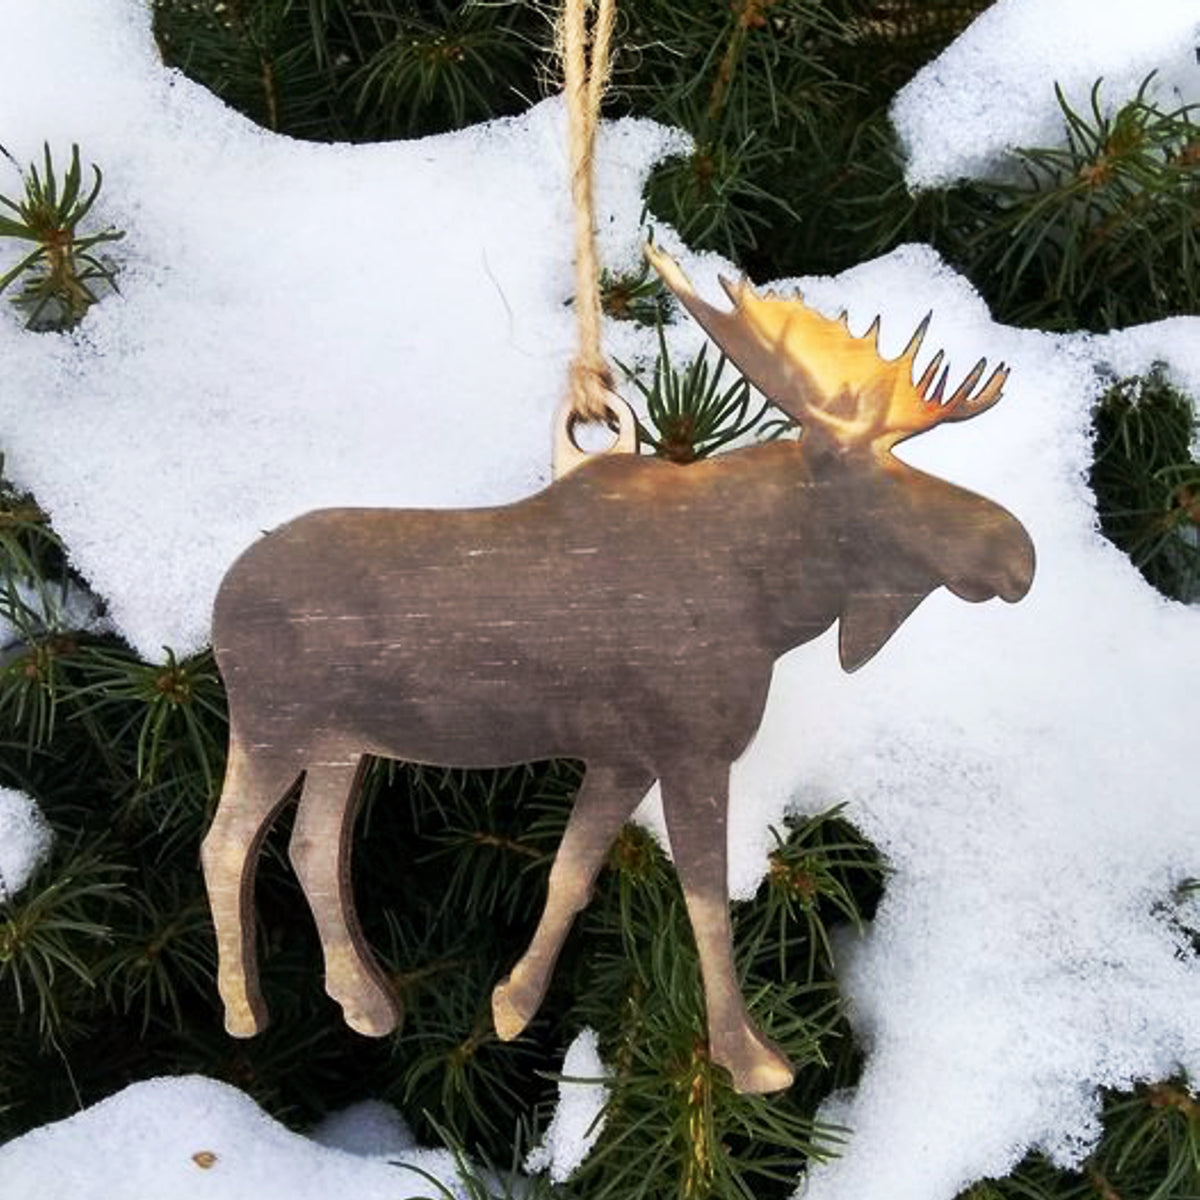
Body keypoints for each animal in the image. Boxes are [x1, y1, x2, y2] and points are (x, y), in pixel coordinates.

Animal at [200, 245, 1035, 1094]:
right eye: (884, 479)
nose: (1018, 550)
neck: (770, 604)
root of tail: (222, 604)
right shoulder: (692, 749)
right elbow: (706, 901)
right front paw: (749, 1058)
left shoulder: (623, 757)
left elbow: (571, 873)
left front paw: (511, 1006)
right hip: (273, 724)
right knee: (225, 842)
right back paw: (242, 1011)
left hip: (342, 742)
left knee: (309, 847)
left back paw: (365, 1003)